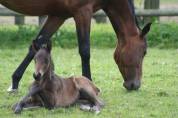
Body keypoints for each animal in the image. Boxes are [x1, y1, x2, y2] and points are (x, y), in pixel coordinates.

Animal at [0, 0, 152, 91]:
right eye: (144, 52)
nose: (135, 85)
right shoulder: (83, 11)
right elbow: (85, 51)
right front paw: (89, 83)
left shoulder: (58, 15)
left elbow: (36, 46)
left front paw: (15, 82)